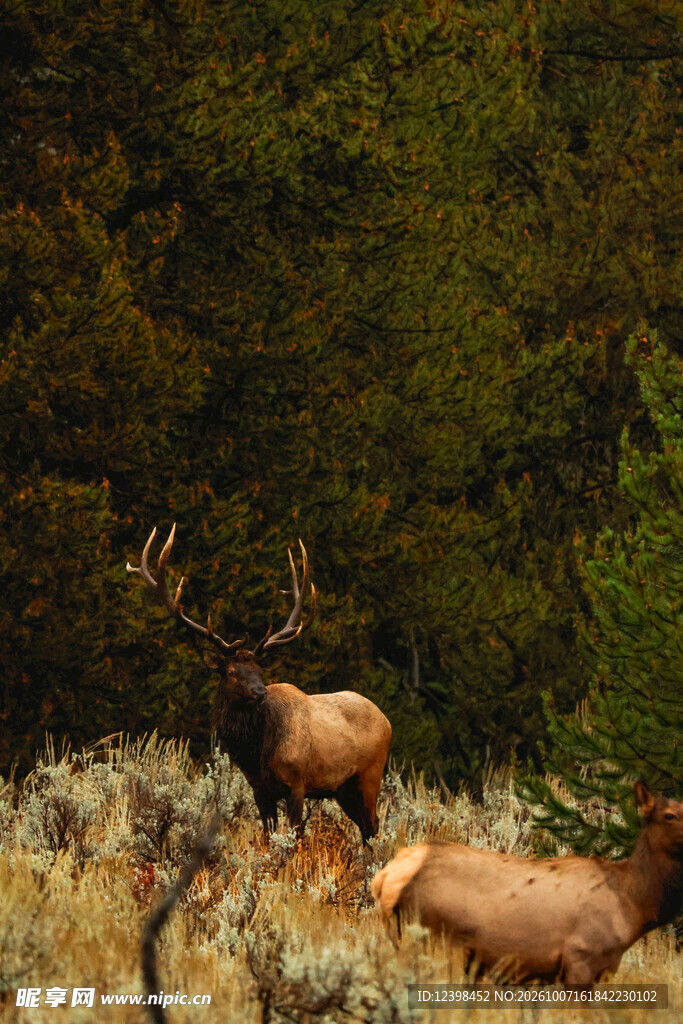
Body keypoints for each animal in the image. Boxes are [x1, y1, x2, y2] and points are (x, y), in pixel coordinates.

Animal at [126, 525, 392, 844]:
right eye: (230, 671)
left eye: (259, 671)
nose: (260, 692)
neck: (257, 755)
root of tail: (386, 719)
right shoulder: (259, 790)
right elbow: (268, 836)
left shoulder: (297, 783)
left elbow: (293, 837)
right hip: (344, 788)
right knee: (366, 827)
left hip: (370, 773)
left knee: (373, 826)